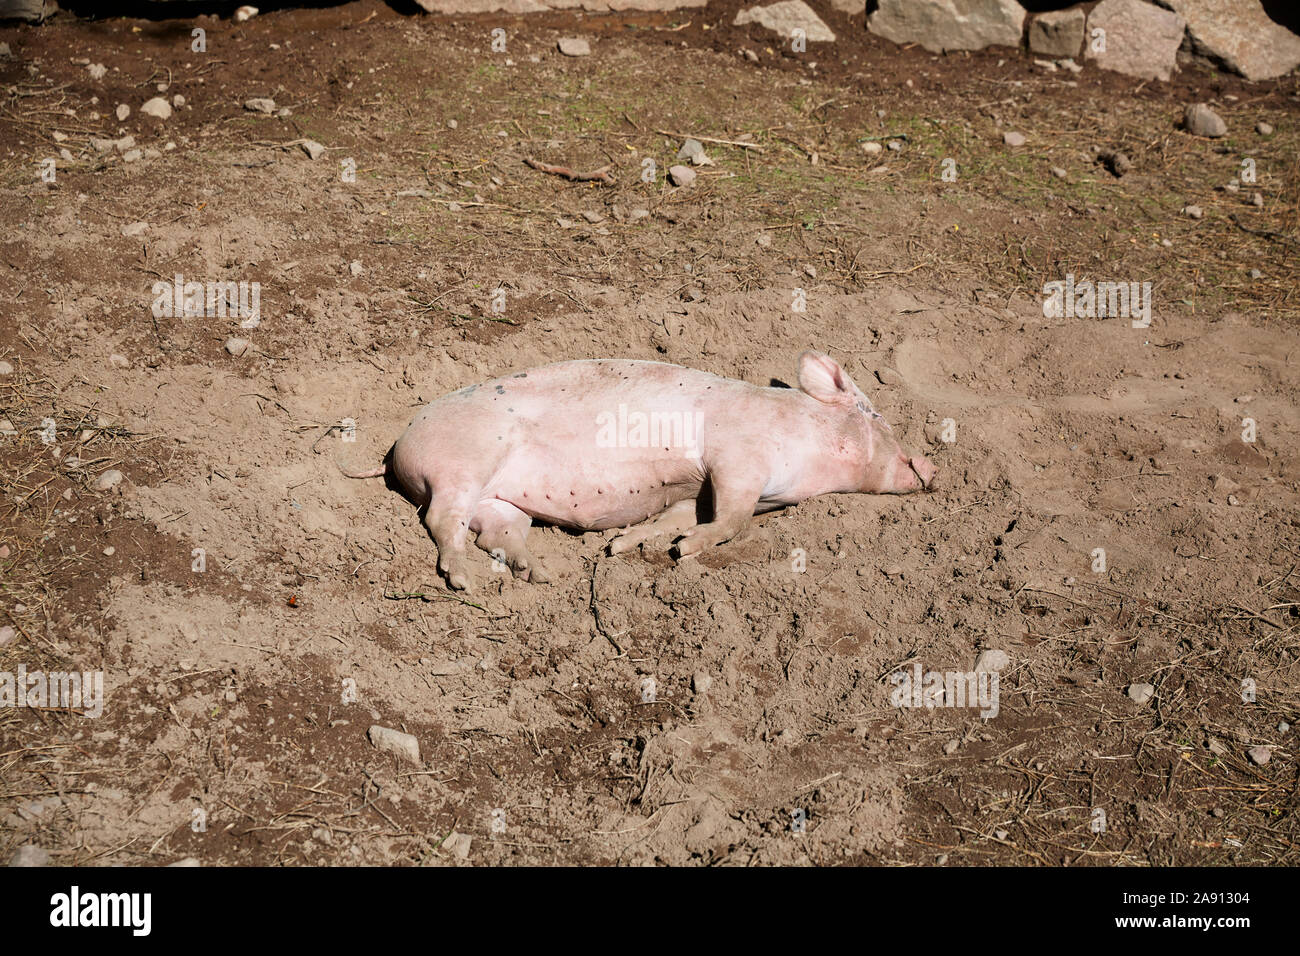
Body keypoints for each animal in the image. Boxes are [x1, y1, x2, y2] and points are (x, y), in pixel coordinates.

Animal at [345, 351, 936, 590]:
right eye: (875, 415)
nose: (930, 467)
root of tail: (396, 449)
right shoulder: (738, 462)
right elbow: (730, 520)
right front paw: (684, 552)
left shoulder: (705, 489)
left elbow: (681, 513)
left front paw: (624, 545)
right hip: (462, 465)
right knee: (441, 520)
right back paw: (463, 580)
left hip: (500, 501)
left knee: (495, 532)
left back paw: (540, 574)